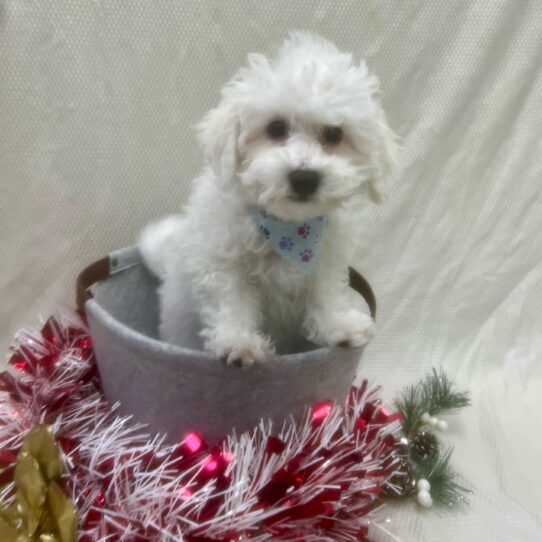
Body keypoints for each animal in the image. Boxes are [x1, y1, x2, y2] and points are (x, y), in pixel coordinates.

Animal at [138, 31, 398, 368]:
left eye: (334, 134)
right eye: (276, 128)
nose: (305, 177)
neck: (287, 227)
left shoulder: (325, 257)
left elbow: (325, 290)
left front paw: (339, 324)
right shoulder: (221, 259)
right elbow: (231, 299)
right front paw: (239, 342)